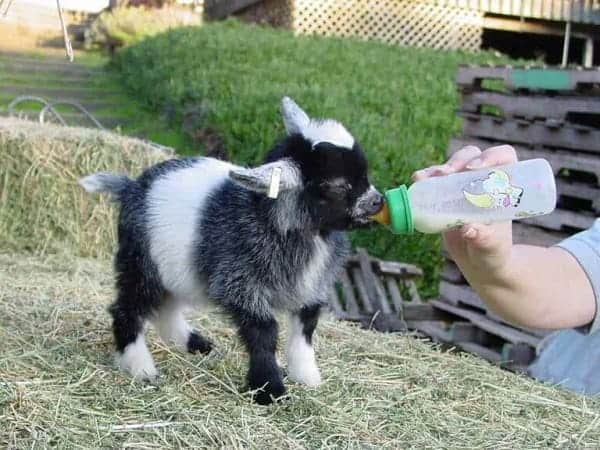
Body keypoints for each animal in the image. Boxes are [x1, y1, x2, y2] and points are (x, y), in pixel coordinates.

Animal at [79, 96, 384, 404]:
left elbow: (305, 331)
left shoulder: (310, 288)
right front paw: (270, 389)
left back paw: (193, 343)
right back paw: (140, 367)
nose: (378, 202)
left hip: (177, 271)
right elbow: (264, 333)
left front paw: (307, 377)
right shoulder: (240, 284)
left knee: (166, 307)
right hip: (141, 262)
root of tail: (130, 188)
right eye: (337, 185)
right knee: (127, 308)